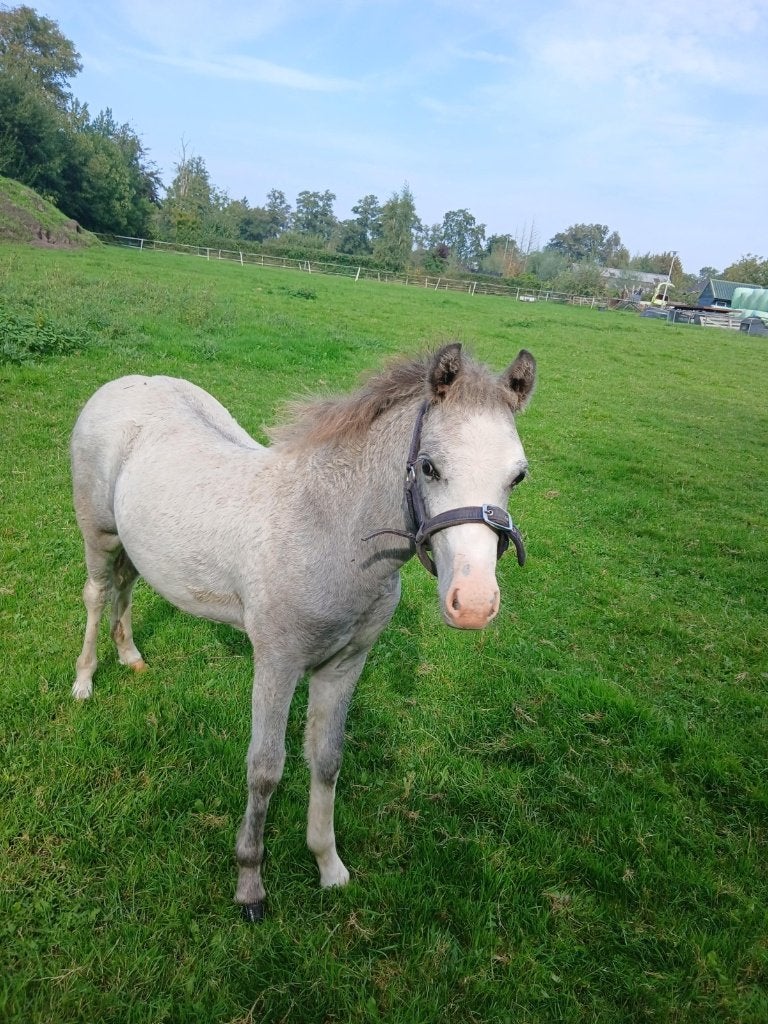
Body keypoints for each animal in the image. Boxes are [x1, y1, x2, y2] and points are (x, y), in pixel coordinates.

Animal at [70, 343, 536, 921]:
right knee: (97, 593)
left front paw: (329, 866)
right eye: (430, 466)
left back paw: (131, 655)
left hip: (134, 546)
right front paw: (250, 886)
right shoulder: (276, 662)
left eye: (518, 476)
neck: (328, 531)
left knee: (127, 586)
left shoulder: (345, 664)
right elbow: (266, 768)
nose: (472, 604)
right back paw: (84, 680)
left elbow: (328, 758)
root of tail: (124, 383)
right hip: (98, 533)